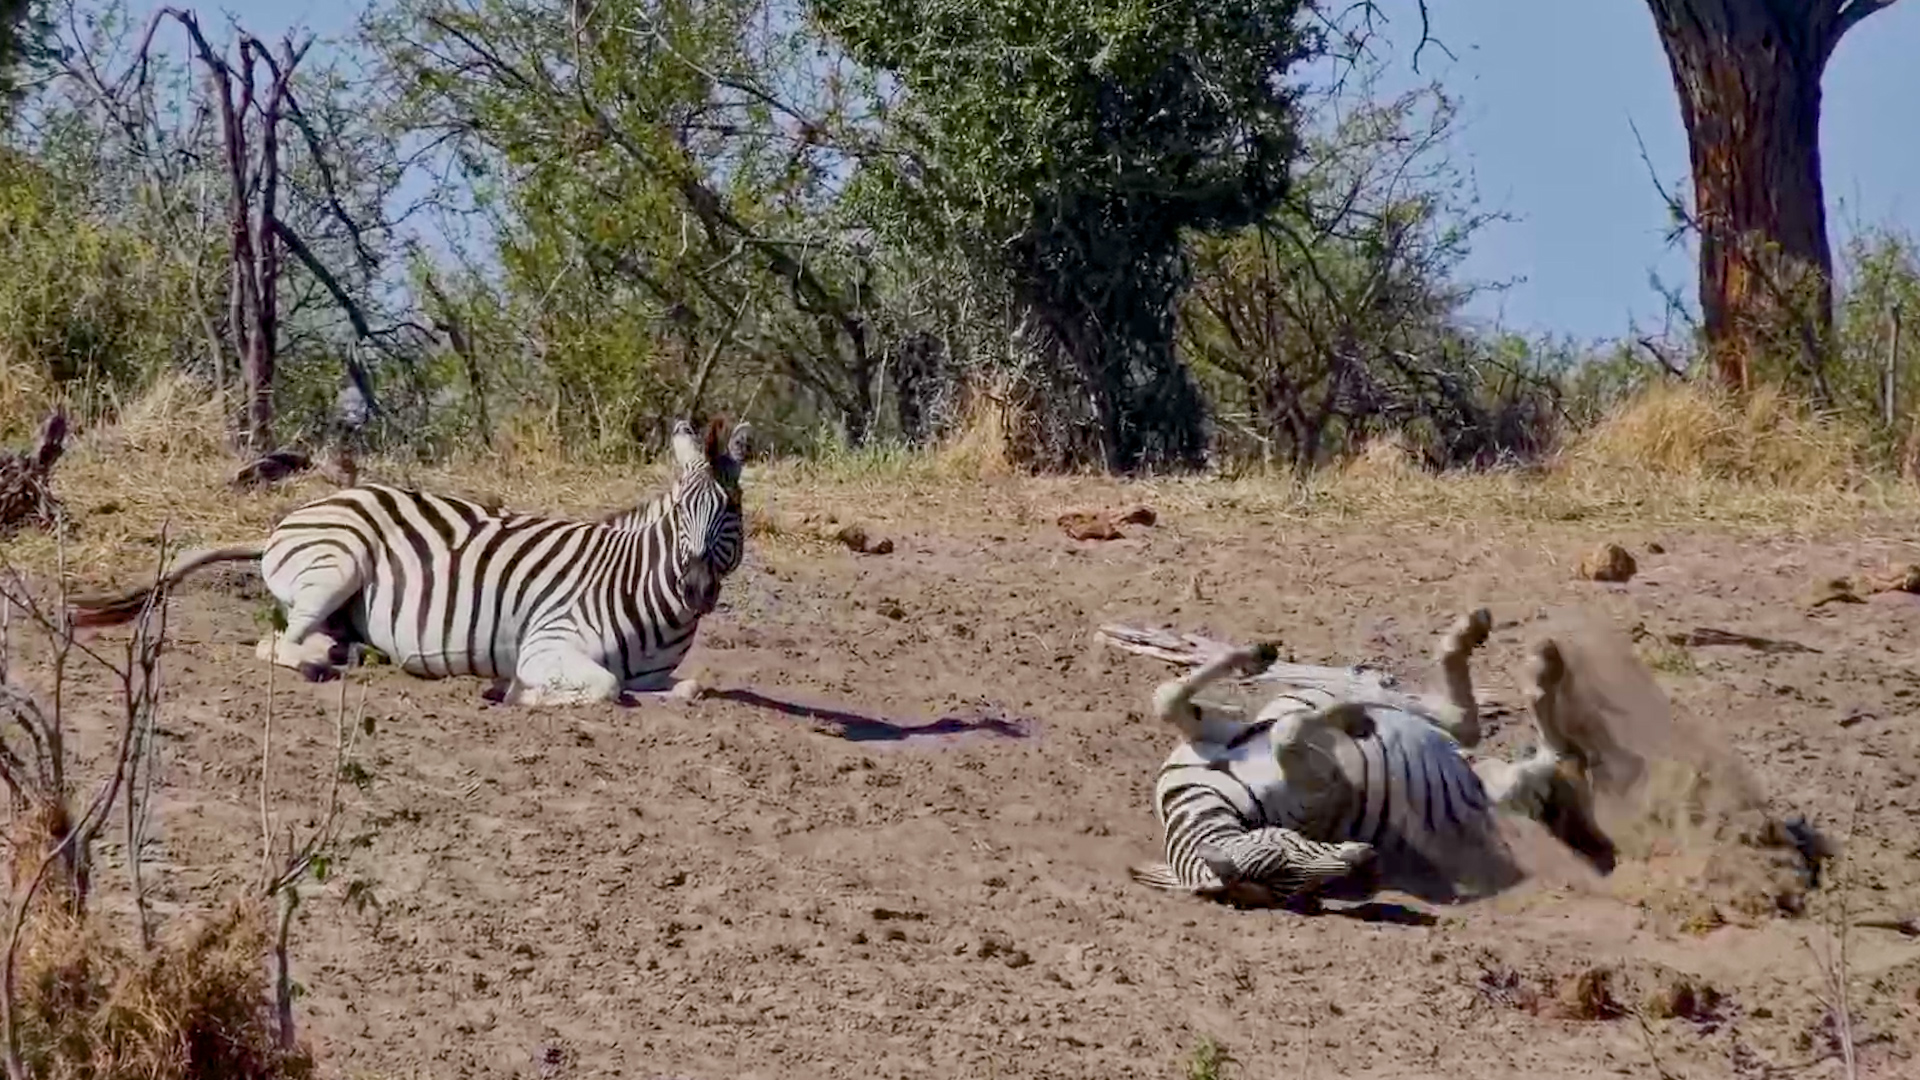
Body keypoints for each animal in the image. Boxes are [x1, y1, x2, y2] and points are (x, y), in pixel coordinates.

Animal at [71, 419, 750, 708]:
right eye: (680, 512)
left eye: (730, 512)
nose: (696, 588)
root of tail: (290, 520)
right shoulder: (547, 643)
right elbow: (605, 687)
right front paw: (514, 693)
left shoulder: (657, 673)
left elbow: (685, 687)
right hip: (338, 561)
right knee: (274, 644)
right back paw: (319, 663)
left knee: (305, 637)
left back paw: (349, 652)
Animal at [1130, 609, 1618, 907]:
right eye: (1299, 885)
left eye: (1286, 858)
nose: (1366, 859)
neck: (1212, 798)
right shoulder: (1326, 787)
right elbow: (1289, 733)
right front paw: (1343, 717)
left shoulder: (1211, 735)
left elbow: (1167, 696)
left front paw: (1254, 658)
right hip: (1500, 783)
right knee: (1535, 746)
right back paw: (1538, 668)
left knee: (1463, 720)